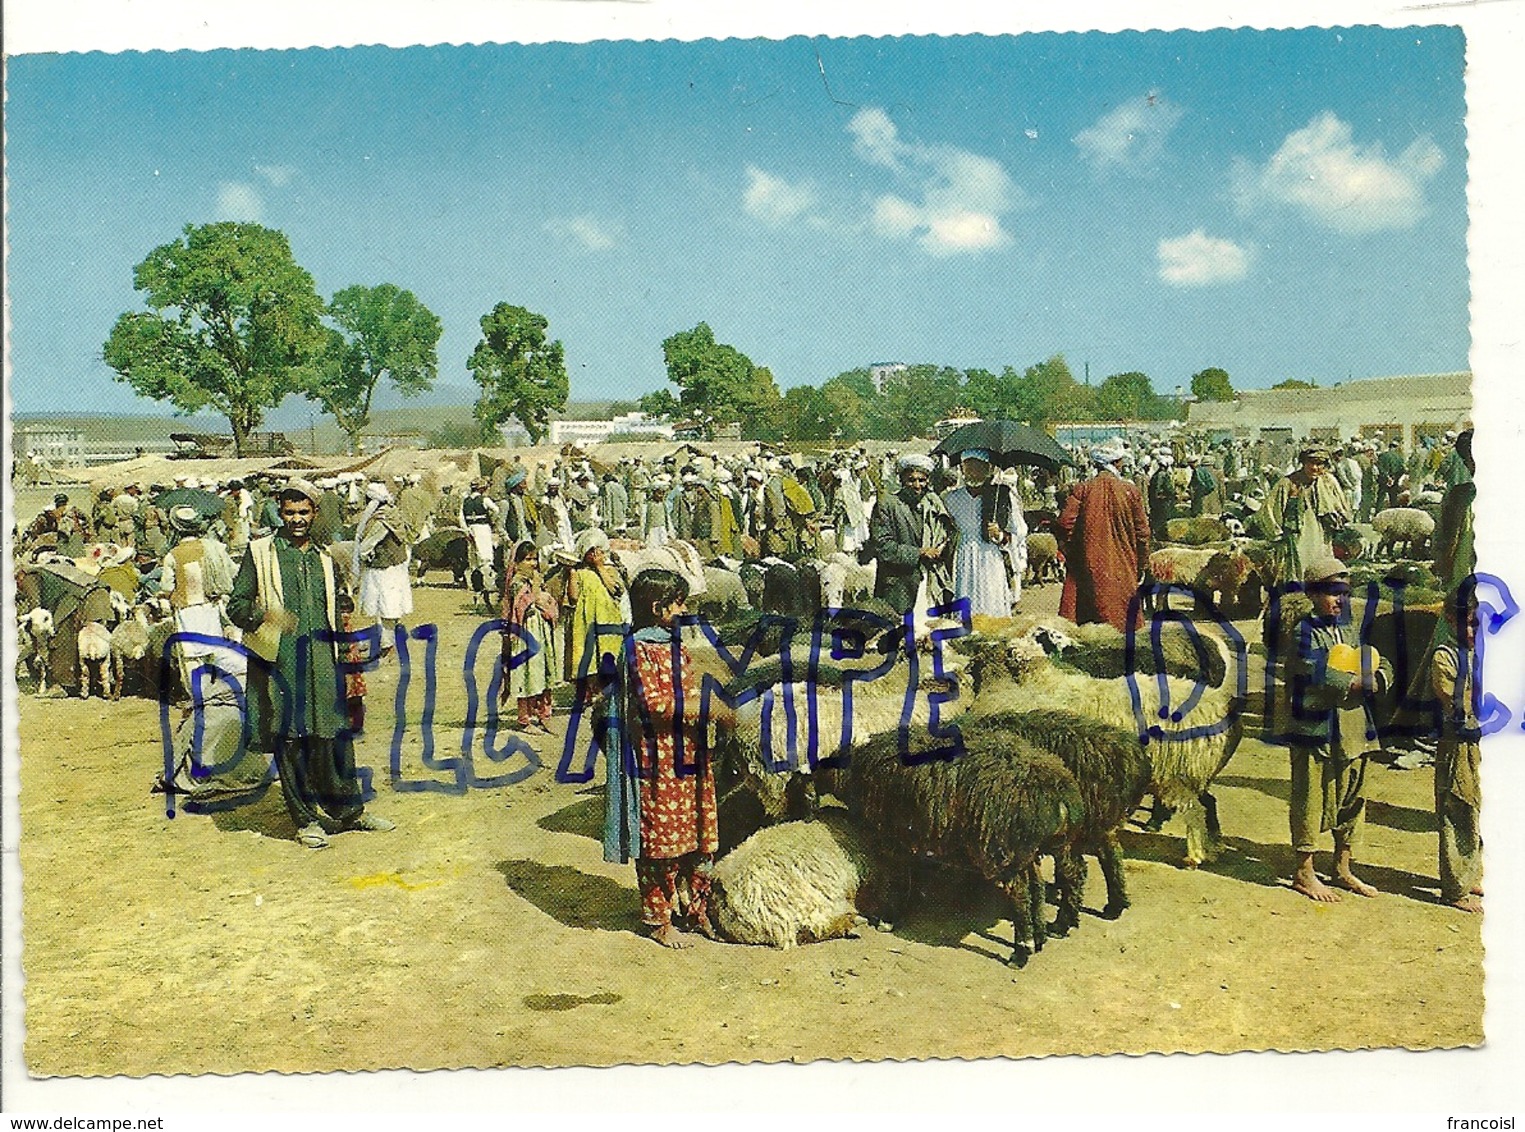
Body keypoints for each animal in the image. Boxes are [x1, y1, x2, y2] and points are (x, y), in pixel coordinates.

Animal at [823, 723, 1085, 970]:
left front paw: (887, 919)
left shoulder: (893, 839)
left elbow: (897, 879)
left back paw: (1021, 951)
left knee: (1021, 895)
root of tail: (1058, 794)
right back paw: (1042, 936)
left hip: (1004, 847)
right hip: (1030, 849)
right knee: (1042, 884)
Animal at [969, 628, 1244, 866]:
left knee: (1195, 810)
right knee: (1207, 802)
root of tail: (1220, 707)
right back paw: (1213, 847)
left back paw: (1194, 854)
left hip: (1180, 771)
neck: (1046, 680)